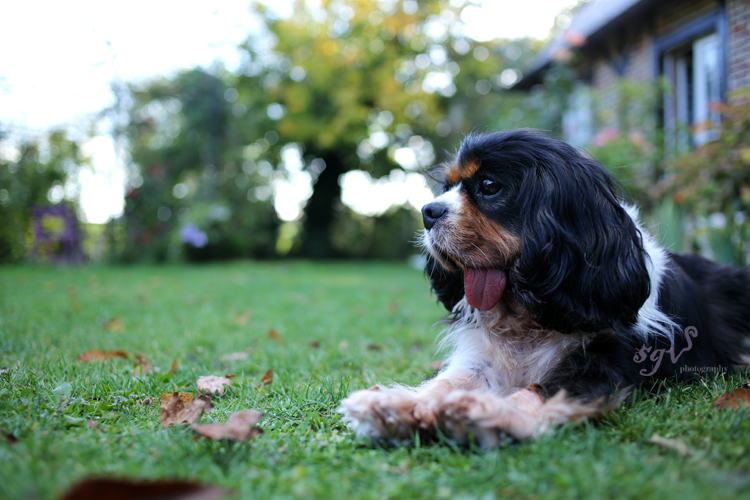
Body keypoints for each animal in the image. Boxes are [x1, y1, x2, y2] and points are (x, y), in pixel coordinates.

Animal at [340, 128, 750, 446]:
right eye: (449, 185)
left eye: (489, 187)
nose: (427, 211)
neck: (525, 311)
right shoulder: (483, 360)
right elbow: (446, 382)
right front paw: (394, 406)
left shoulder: (606, 363)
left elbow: (543, 389)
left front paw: (488, 413)